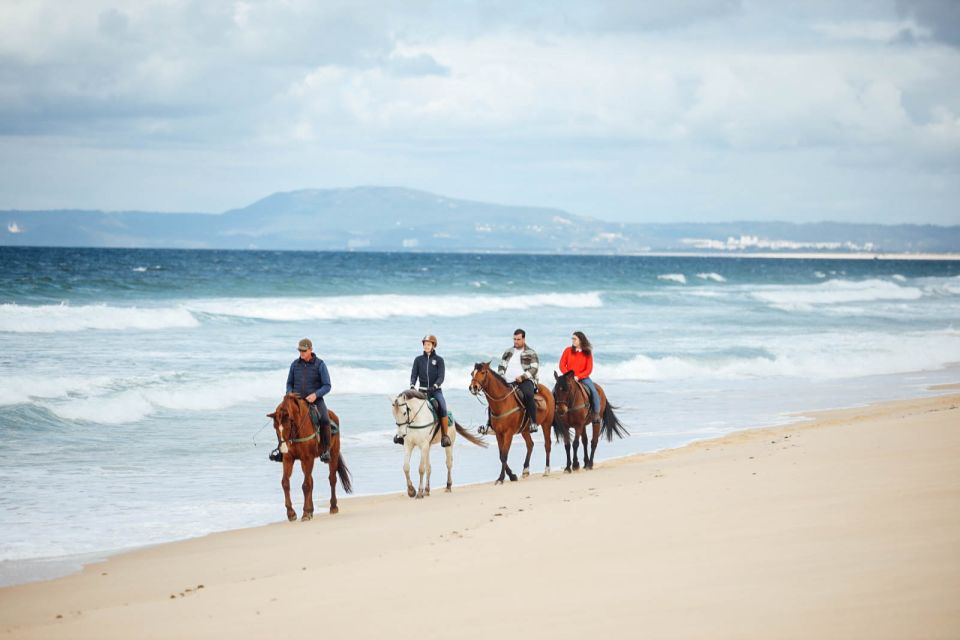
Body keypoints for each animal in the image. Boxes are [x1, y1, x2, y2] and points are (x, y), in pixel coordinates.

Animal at [266, 392, 352, 524]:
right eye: (275, 427)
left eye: (288, 425)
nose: (283, 449)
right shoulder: (288, 459)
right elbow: (285, 483)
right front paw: (291, 513)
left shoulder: (307, 459)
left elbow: (306, 485)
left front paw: (305, 513)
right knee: (311, 480)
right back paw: (312, 510)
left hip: (333, 454)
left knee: (332, 479)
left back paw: (333, 507)